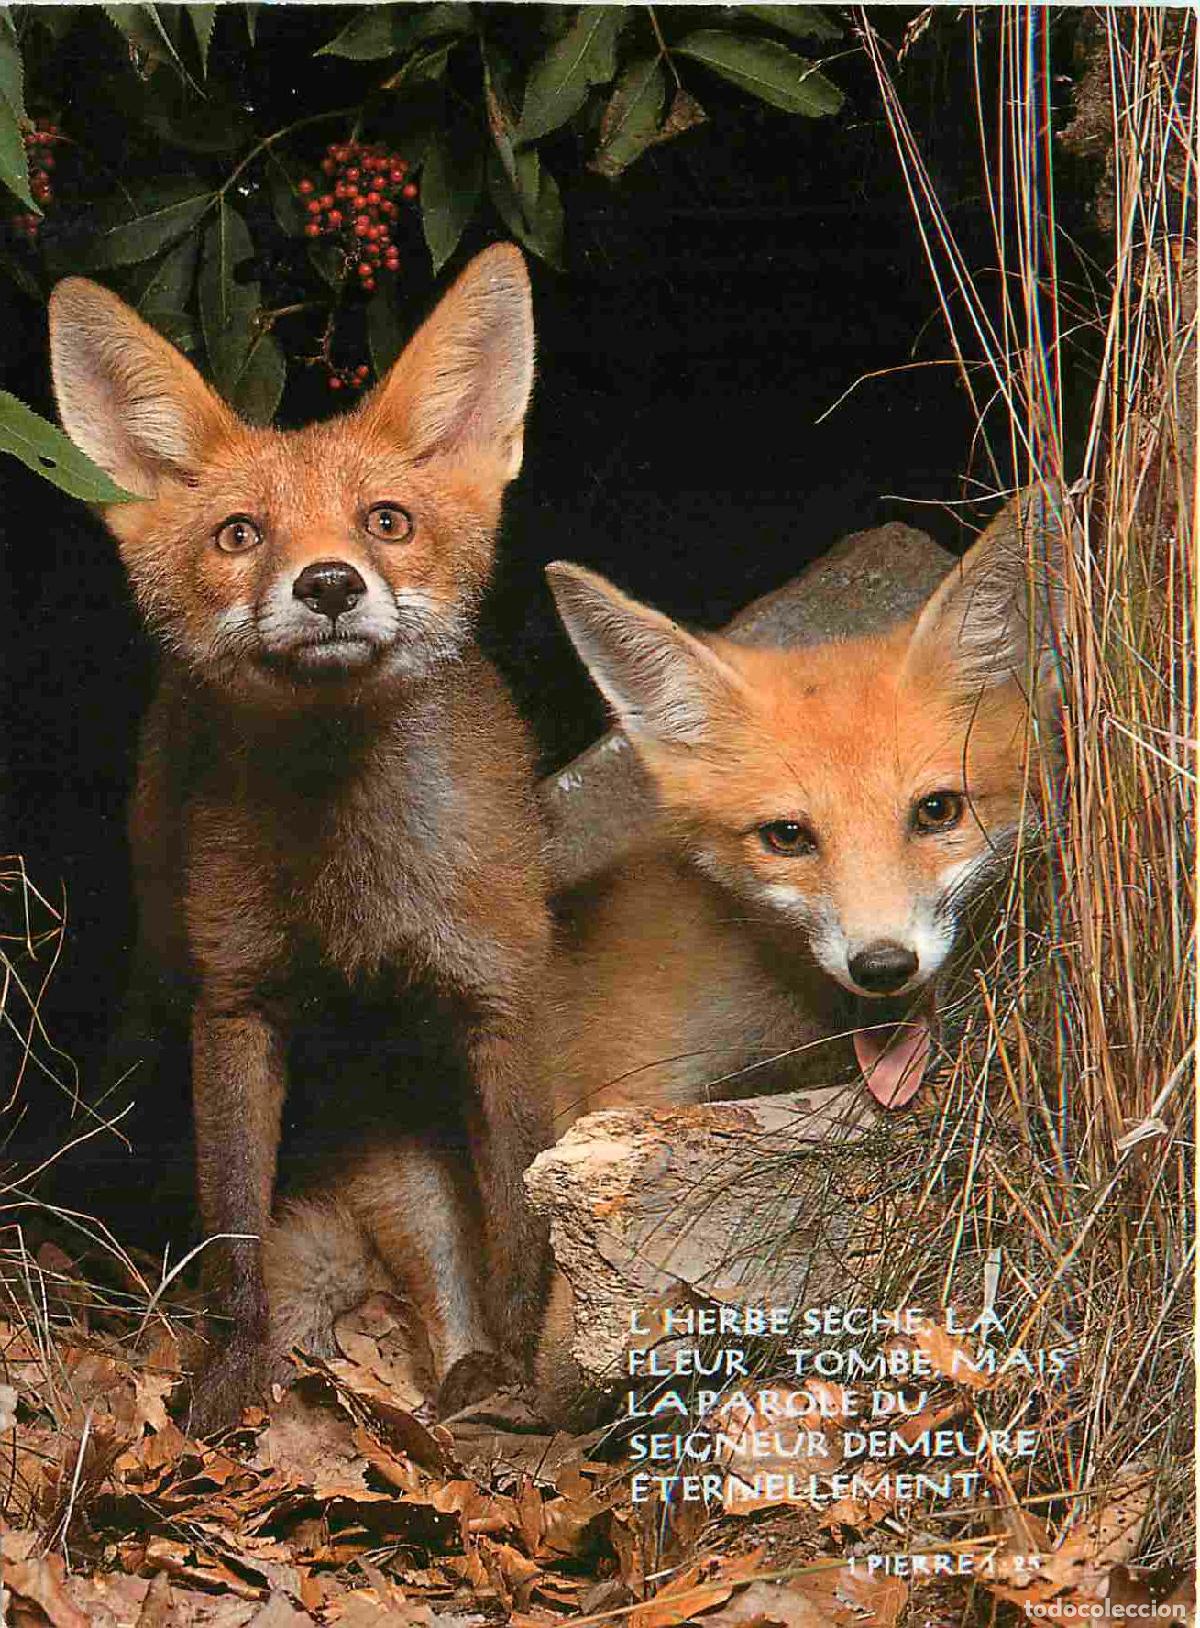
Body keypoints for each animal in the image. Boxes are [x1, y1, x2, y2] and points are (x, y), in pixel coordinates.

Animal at [47, 244, 553, 1433]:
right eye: (241, 535)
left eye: (386, 521)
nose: (327, 584)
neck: (354, 886)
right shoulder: (238, 999)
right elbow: (235, 1229)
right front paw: (238, 1375)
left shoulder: (499, 995)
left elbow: (519, 1228)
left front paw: (517, 1381)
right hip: (162, 971)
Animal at [261, 489, 1065, 1422]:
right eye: (787, 836)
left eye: (937, 811)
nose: (882, 966)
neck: (781, 1026)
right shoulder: (620, 1106)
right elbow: (576, 1321)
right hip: (419, 1177)